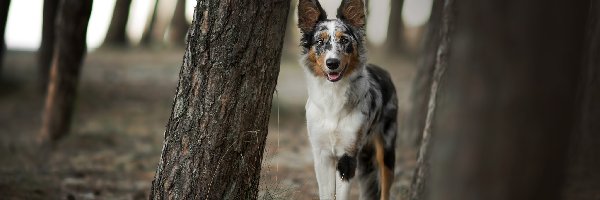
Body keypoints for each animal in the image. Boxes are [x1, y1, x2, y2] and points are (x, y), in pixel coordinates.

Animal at [296, 0, 398, 199]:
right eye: (320, 42)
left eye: (344, 40)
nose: (332, 63)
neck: (332, 98)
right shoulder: (322, 156)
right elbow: (326, 194)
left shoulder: (348, 155)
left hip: (387, 150)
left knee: (385, 187)